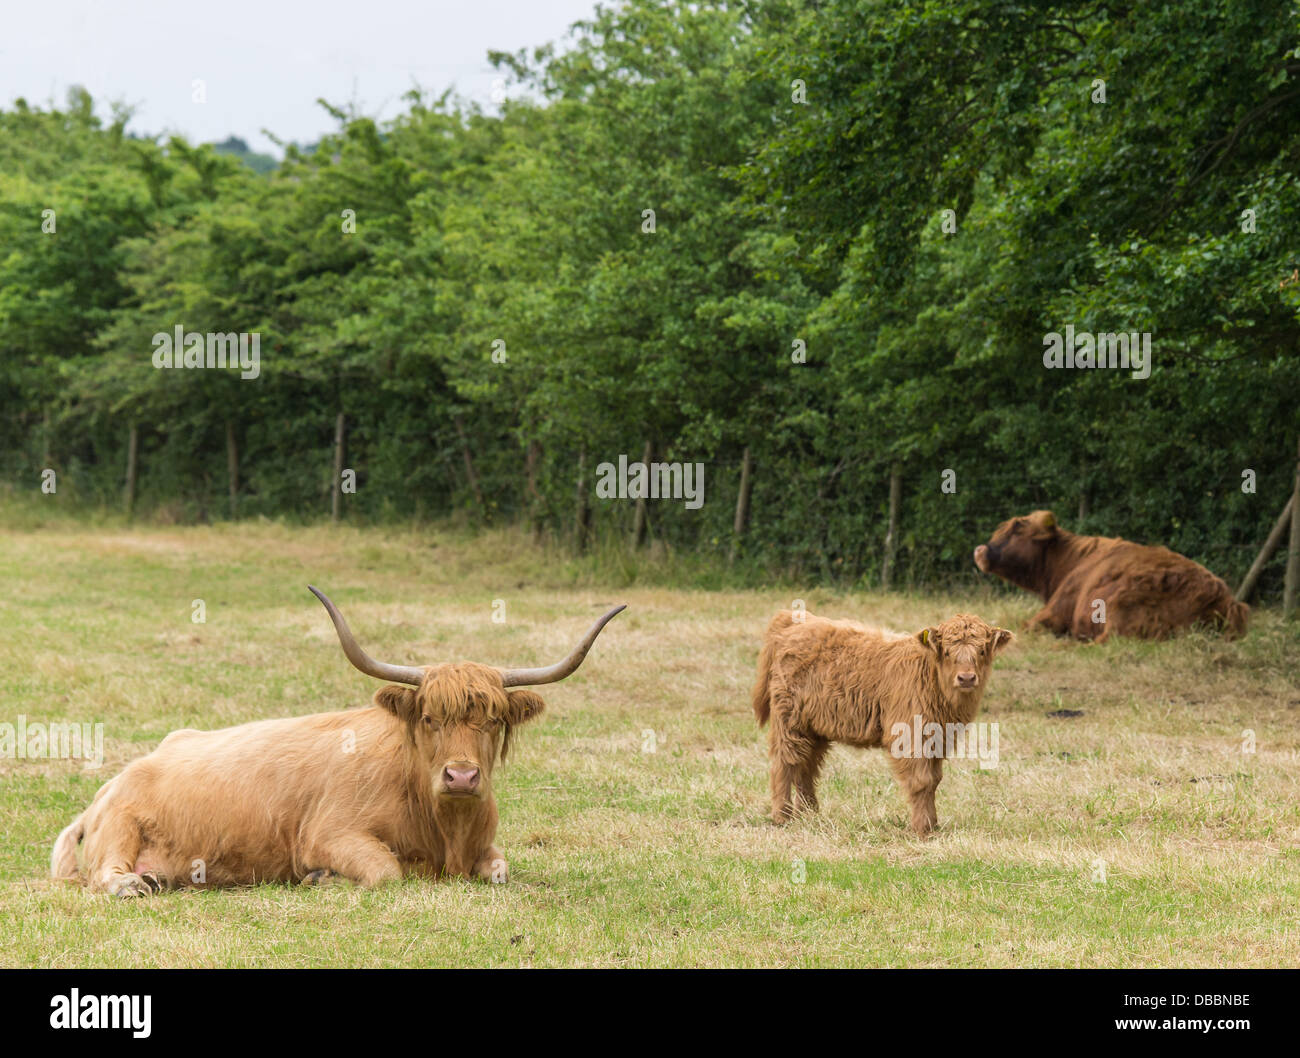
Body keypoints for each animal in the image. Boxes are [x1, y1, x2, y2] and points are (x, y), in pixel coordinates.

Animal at [51, 588, 625, 896]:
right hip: (122, 829)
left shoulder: (486, 849)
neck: (446, 832)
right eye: (430, 718)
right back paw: (136, 885)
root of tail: (112, 784)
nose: (461, 776)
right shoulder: (330, 834)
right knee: (106, 874)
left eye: (492, 718)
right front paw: (321, 878)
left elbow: (500, 869)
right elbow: (387, 871)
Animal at [752, 610, 1013, 835]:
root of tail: (795, 621)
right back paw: (782, 817)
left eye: (982, 651)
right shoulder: (910, 735)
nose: (966, 678)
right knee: (785, 763)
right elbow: (922, 781)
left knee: (806, 767)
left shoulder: (938, 738)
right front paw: (922, 828)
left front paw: (933, 824)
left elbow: (934, 780)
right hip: (789, 721)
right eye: (947, 652)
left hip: (814, 728)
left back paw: (809, 814)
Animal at [973, 509, 1247, 642]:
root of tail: (1224, 597)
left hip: (1120, 606)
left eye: (1017, 528)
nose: (980, 550)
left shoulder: (1053, 612)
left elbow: (1024, 625)